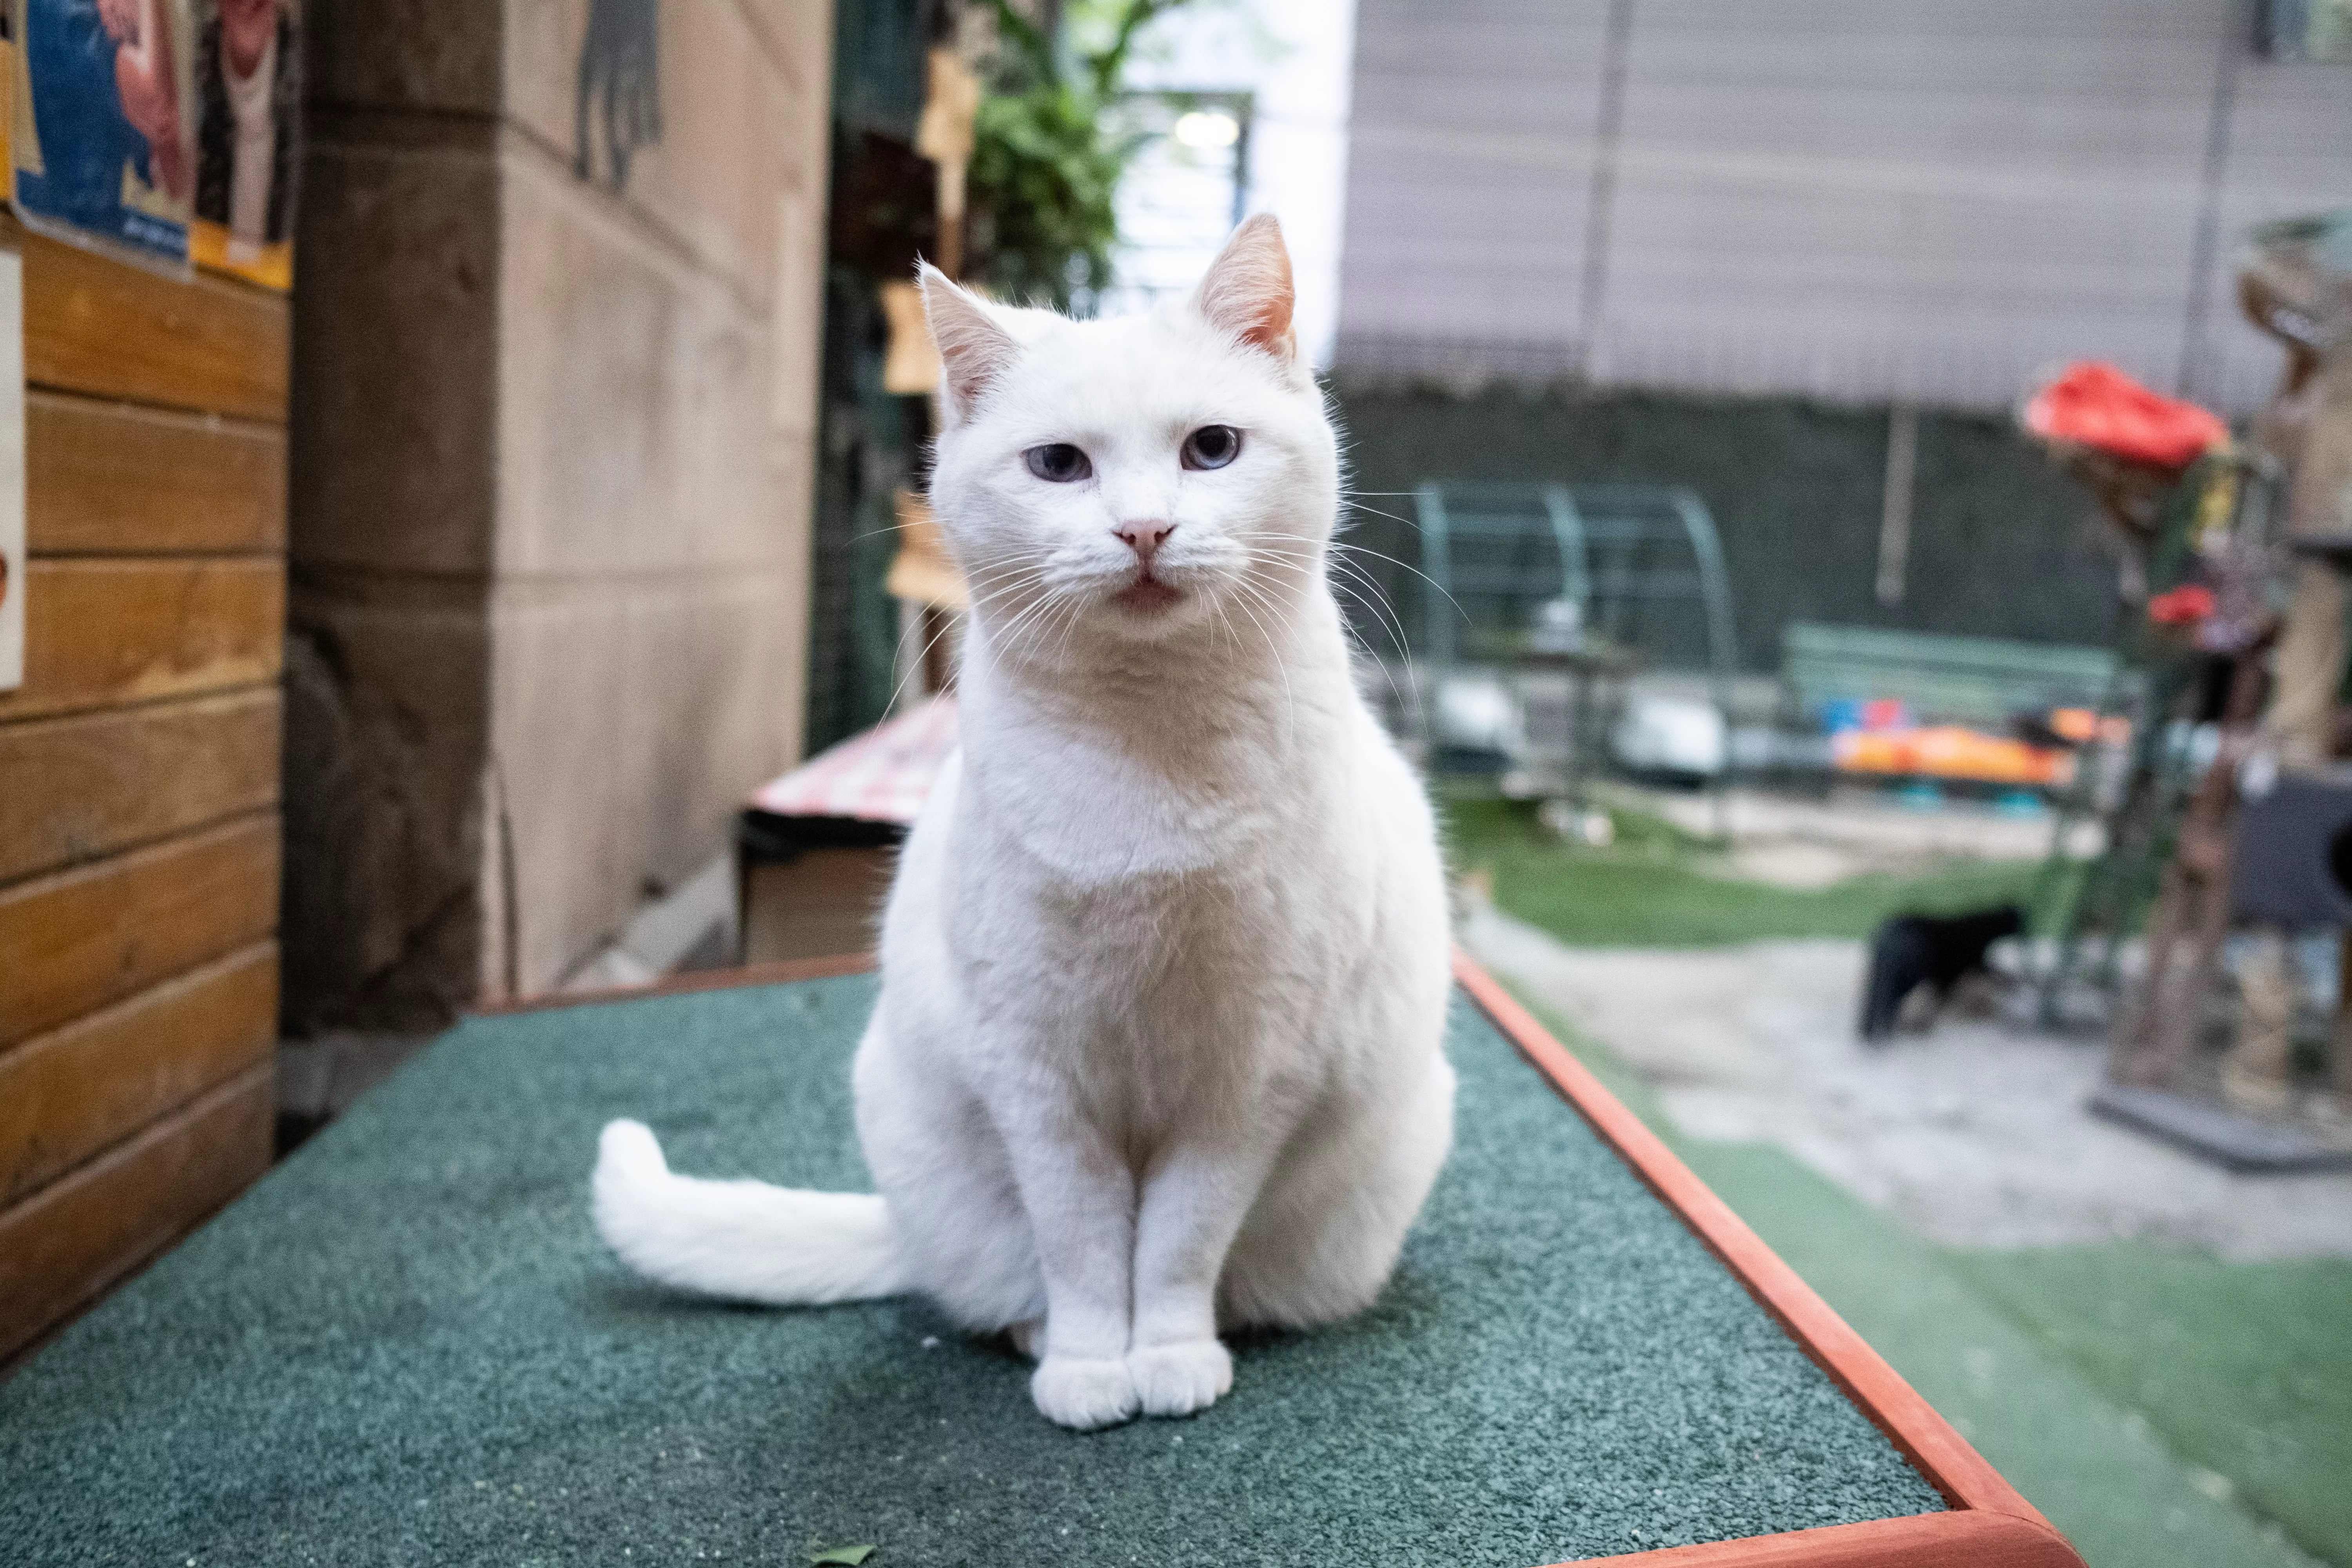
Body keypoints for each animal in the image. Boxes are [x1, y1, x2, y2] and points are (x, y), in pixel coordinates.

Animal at [593, 221, 1449, 1439]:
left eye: (1212, 449)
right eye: (1059, 467)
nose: (1144, 528)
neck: (1148, 748)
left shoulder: (1247, 1077)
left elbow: (1177, 1241)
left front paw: (1167, 1353)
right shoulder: (1037, 1074)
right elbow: (1086, 1242)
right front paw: (1094, 1366)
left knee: (1231, 1274)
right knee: (1014, 1283)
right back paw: (1043, 1334)